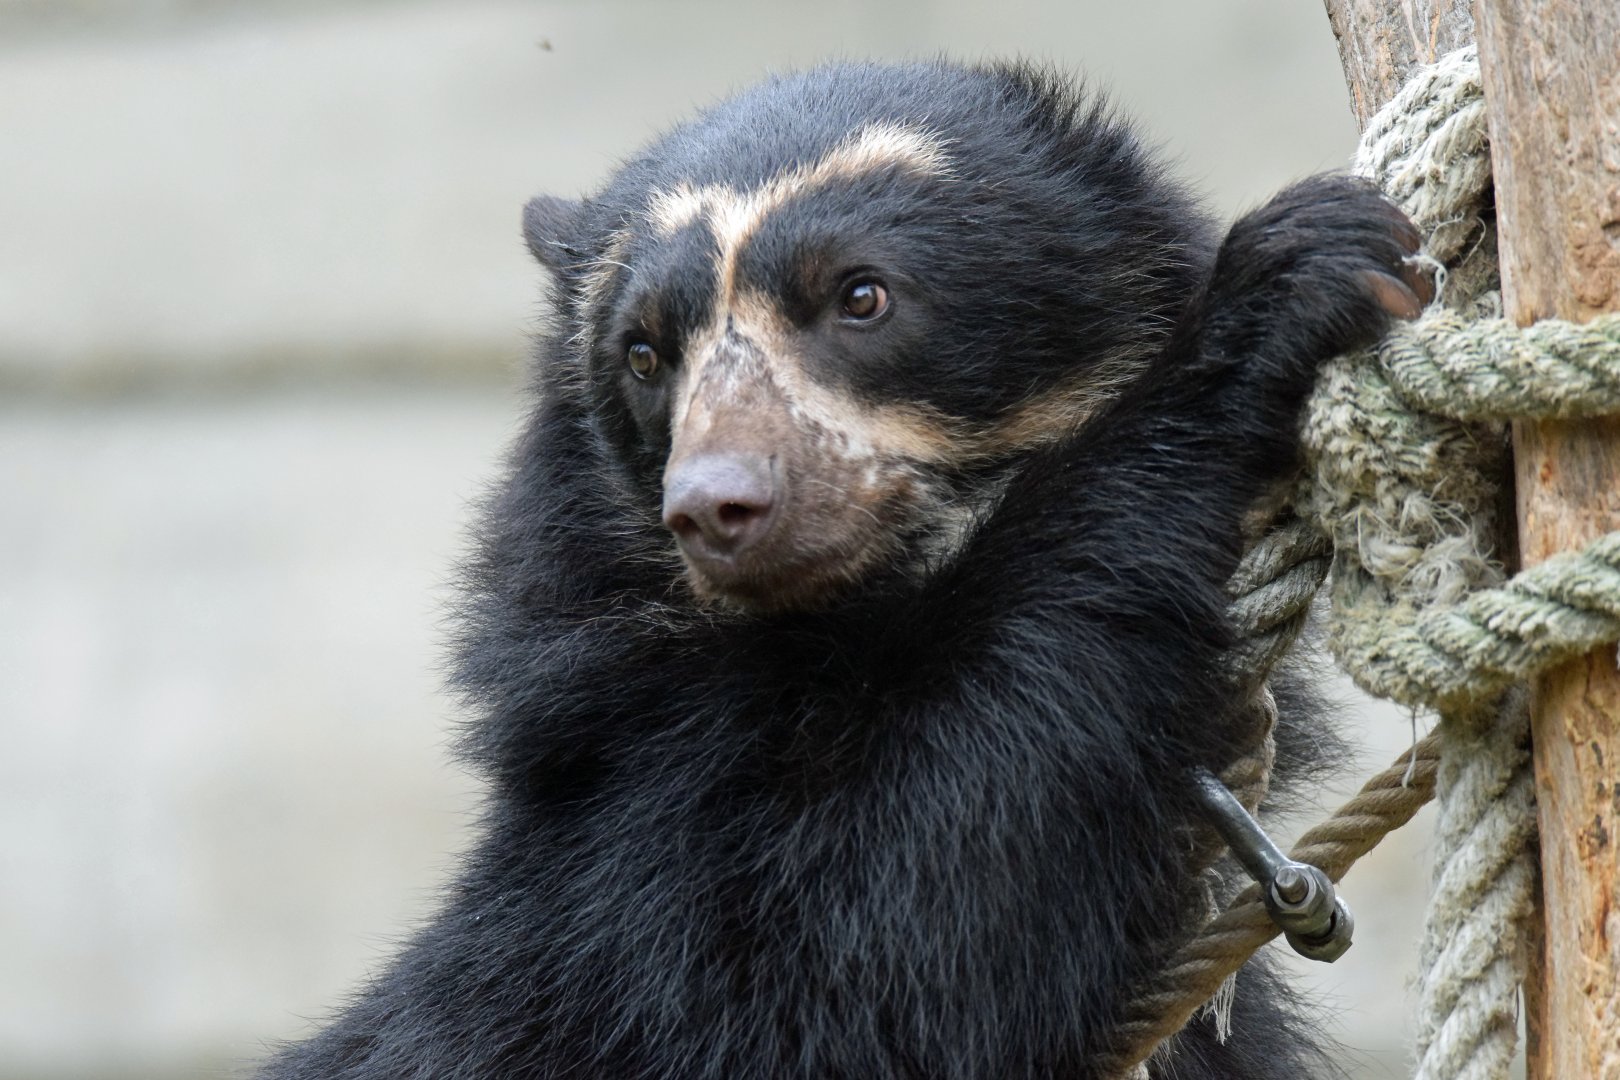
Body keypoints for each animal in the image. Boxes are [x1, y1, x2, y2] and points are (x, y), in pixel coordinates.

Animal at [258, 59, 1426, 1079]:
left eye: (862, 297)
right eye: (644, 353)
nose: (715, 506)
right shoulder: (637, 836)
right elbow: (878, 926)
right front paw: (1294, 277)